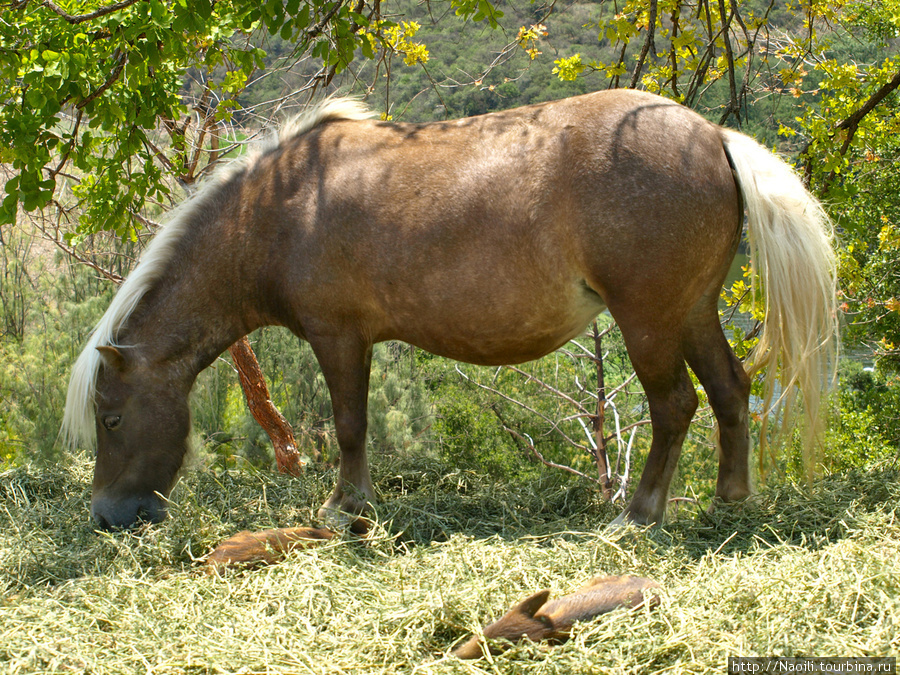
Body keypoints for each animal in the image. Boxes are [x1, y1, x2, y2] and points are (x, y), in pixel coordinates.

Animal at [61, 91, 836, 532]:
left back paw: (639, 516)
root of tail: (710, 136)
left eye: (113, 418)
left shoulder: (338, 336)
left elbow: (349, 424)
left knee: (675, 406)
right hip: (692, 311)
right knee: (730, 391)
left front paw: (344, 506)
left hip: (648, 318)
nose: (105, 516)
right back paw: (729, 502)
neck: (278, 210)